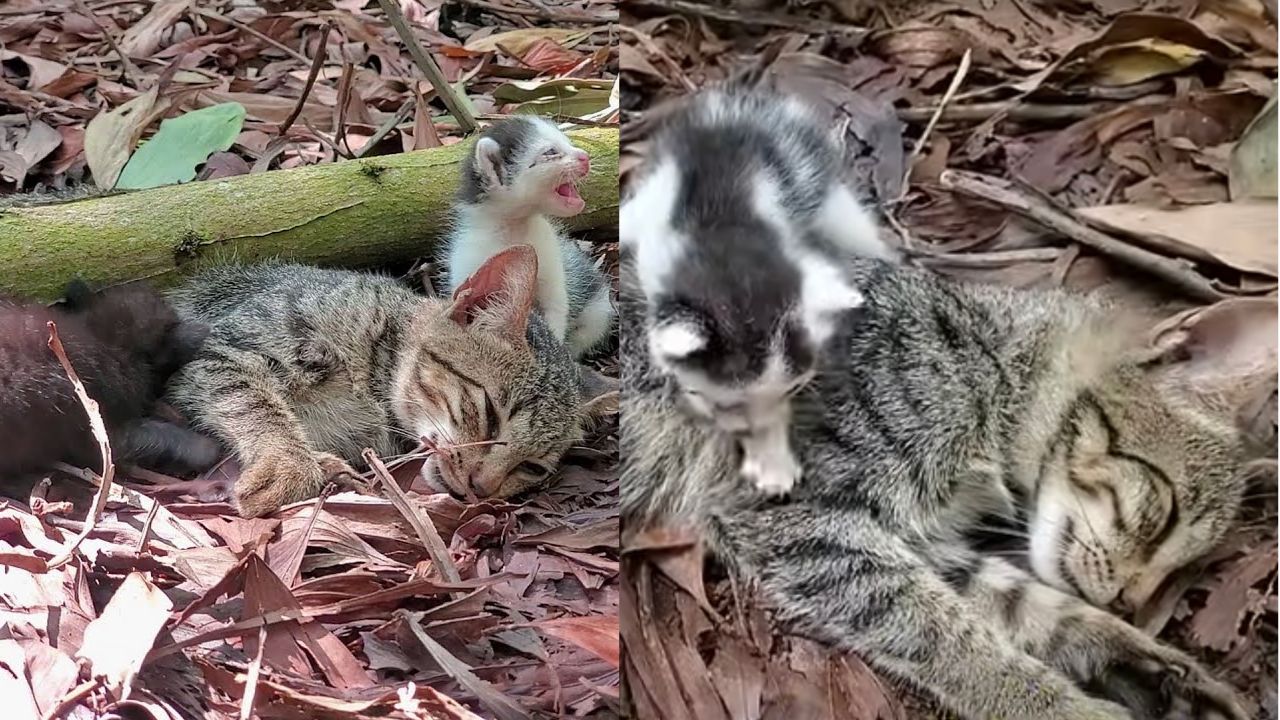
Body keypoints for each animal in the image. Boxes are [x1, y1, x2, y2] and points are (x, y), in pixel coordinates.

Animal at [165, 245, 614, 515]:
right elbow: (253, 401)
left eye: (533, 467)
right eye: (489, 416)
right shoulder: (220, 346)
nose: (481, 487)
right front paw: (289, 463)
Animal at [619, 257, 1259, 717]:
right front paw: (1062, 707)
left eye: (1182, 569)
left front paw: (1130, 650)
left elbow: (1026, 606)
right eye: (1165, 514)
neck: (991, 368)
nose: (1130, 600)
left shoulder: (916, 540)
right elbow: (949, 641)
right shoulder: (798, 516)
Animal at [624, 77, 896, 491]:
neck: (725, 248)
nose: (748, 430)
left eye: (793, 390)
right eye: (725, 401)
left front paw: (772, 459)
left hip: (835, 203)